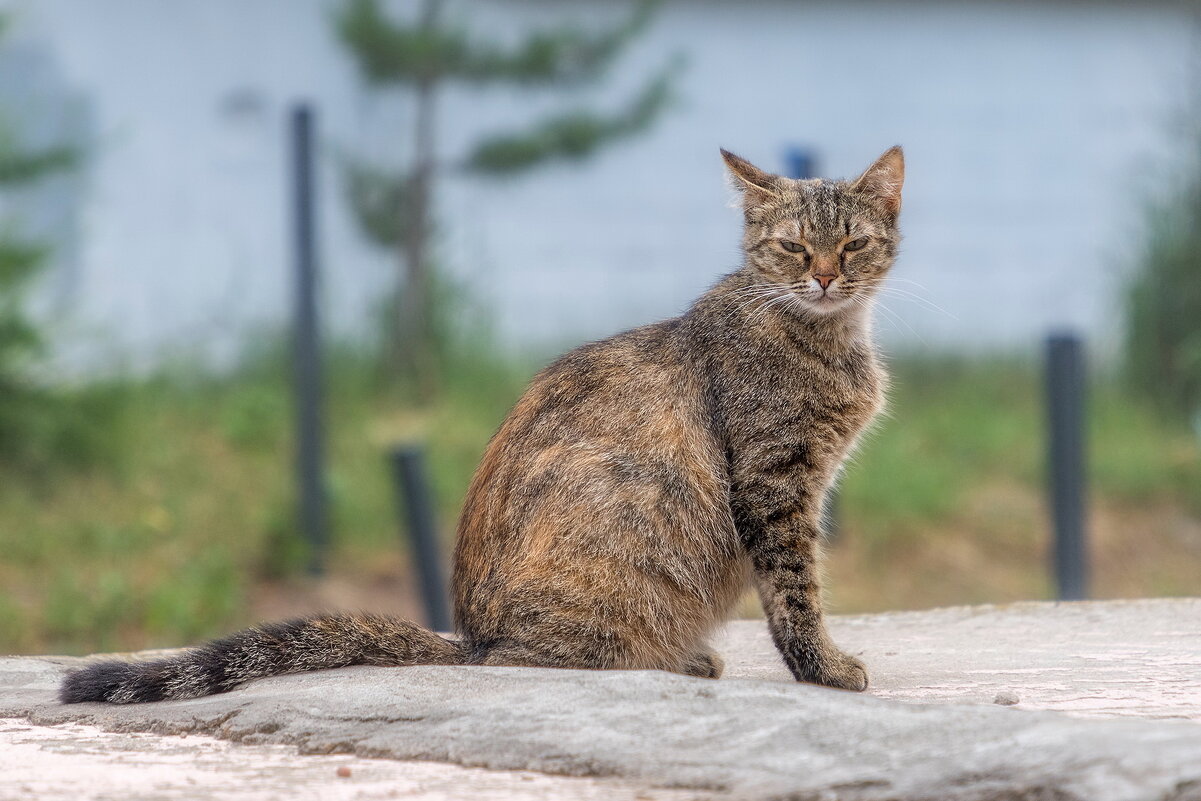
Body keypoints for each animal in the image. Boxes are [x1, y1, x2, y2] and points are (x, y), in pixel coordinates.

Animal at [56, 147, 903, 706]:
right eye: (791, 245)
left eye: (852, 241)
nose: (823, 274)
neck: (824, 335)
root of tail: (473, 638)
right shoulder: (774, 483)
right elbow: (795, 593)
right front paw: (824, 669)